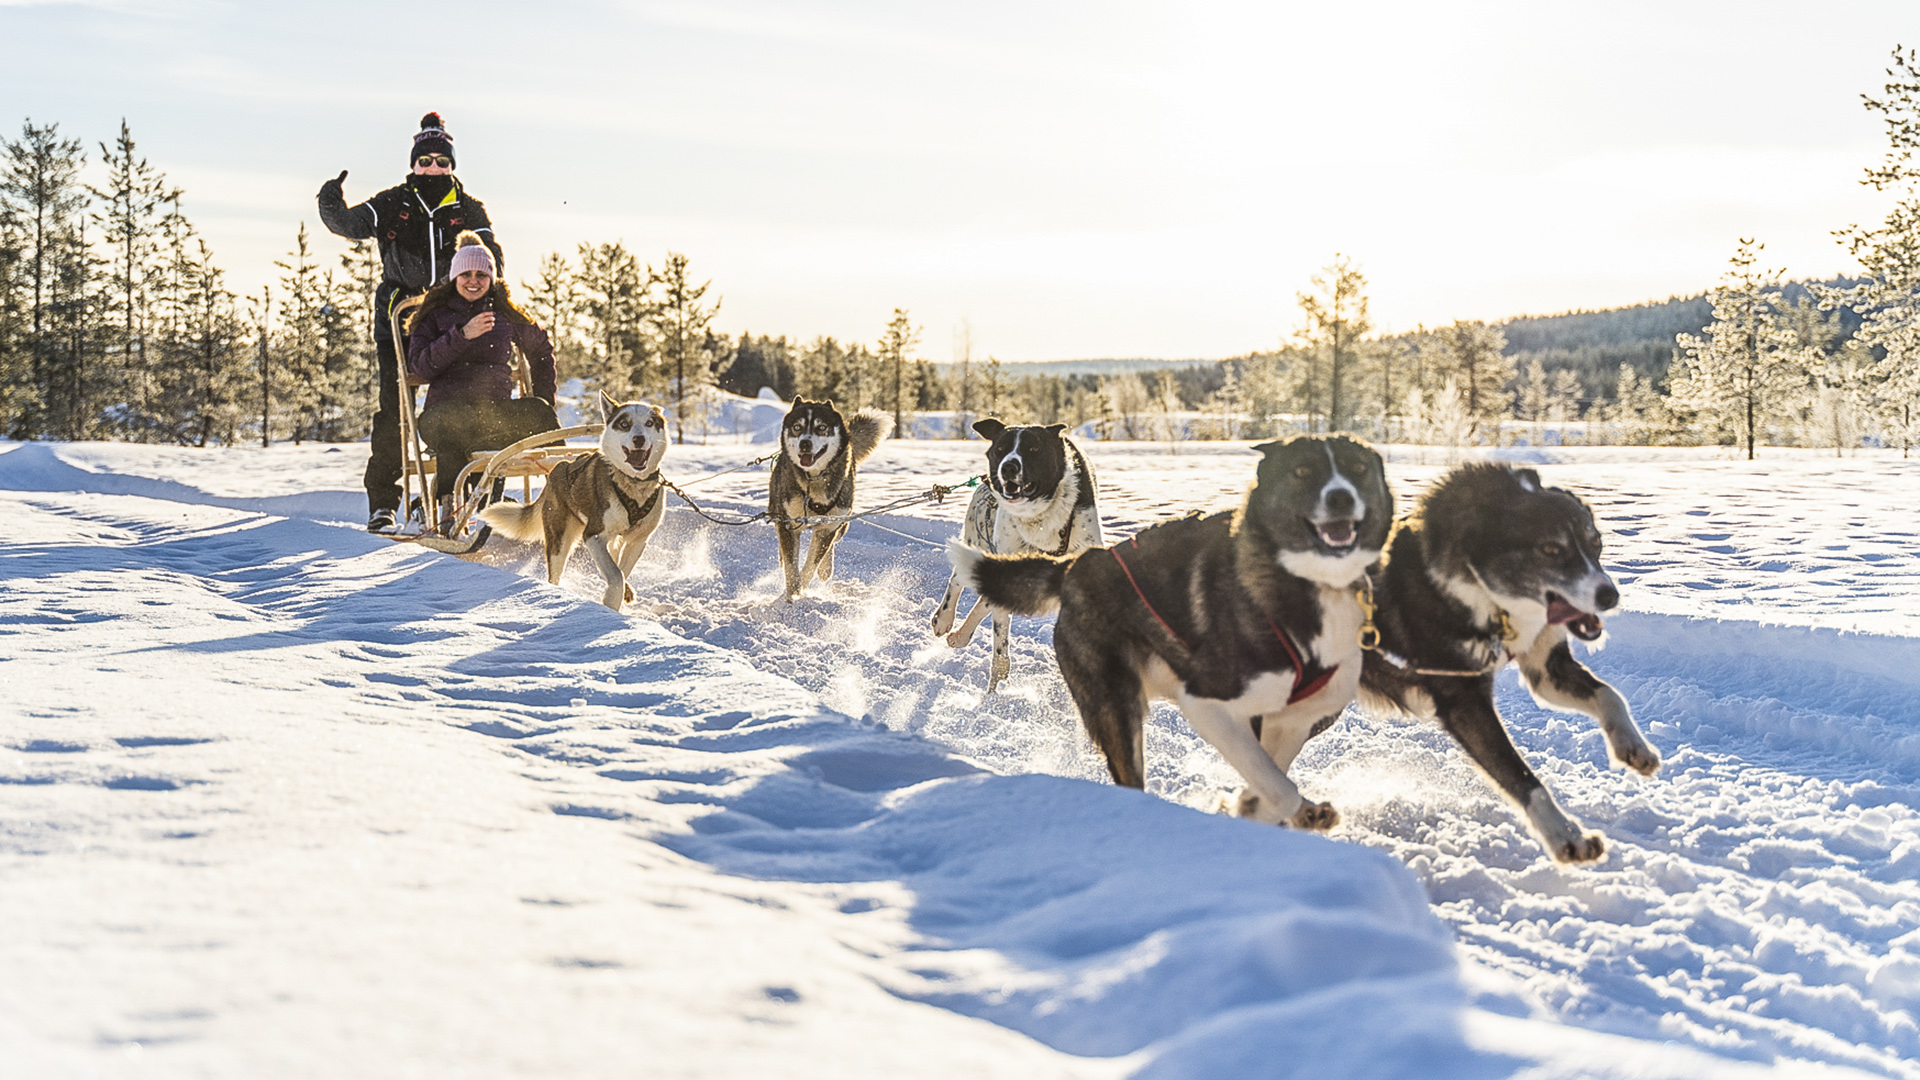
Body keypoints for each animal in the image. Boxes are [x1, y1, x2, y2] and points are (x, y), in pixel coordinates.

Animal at [933, 417, 1113, 684]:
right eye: (1000, 449)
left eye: (1034, 448)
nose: (1008, 467)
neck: (1038, 519)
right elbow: (1000, 651)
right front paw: (996, 690)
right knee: (957, 579)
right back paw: (944, 619)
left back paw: (960, 635)